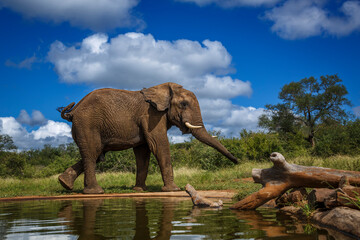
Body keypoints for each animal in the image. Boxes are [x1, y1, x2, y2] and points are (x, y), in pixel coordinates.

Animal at [57, 81, 238, 194]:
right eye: (184, 104)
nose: (237, 161)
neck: (164, 88)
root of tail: (73, 111)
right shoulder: (152, 116)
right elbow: (159, 145)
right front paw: (173, 190)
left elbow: (143, 152)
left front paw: (139, 190)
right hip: (87, 124)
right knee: (92, 153)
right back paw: (95, 192)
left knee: (96, 154)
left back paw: (64, 183)